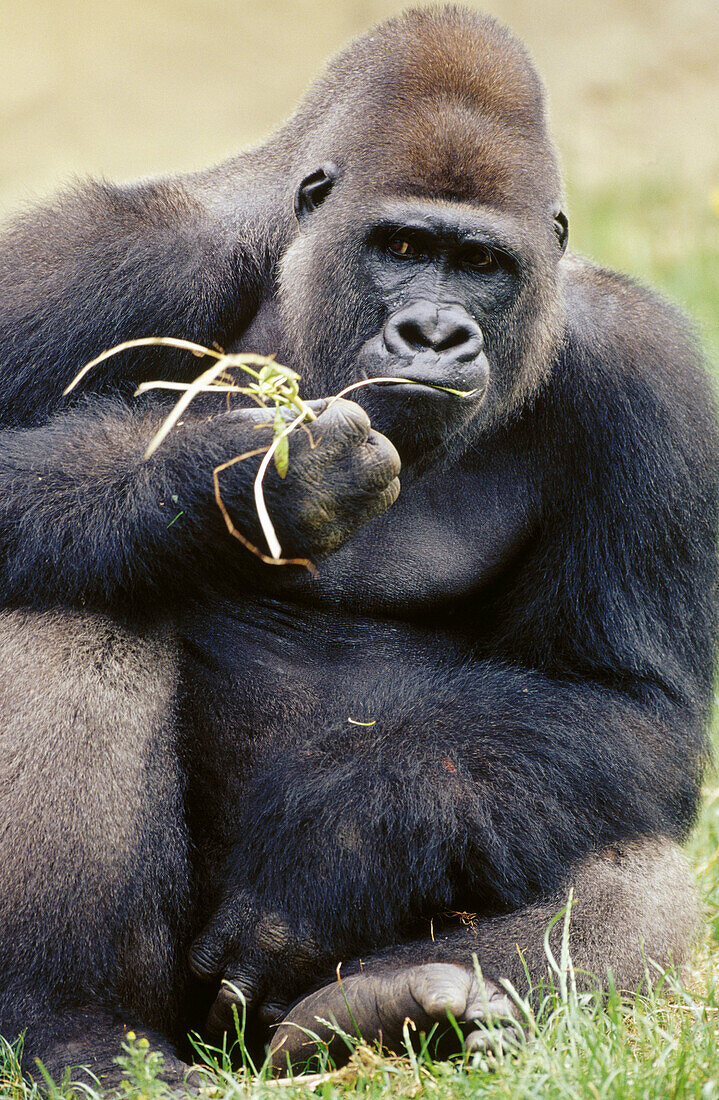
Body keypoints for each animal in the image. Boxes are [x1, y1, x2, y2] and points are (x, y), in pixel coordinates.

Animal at [1, 2, 719, 1091]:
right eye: (402, 243)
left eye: (481, 265)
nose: (434, 334)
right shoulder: (96, 260)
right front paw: (256, 476)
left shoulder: (648, 376)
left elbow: (628, 704)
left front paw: (338, 846)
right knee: (66, 590)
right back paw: (75, 1024)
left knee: (641, 873)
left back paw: (376, 1012)